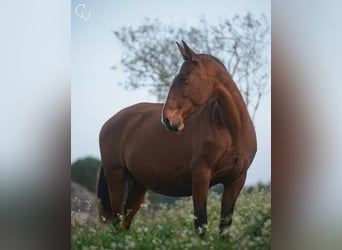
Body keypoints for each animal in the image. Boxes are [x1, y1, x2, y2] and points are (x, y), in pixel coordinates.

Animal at [96, 40, 256, 236]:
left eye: (184, 79)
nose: (167, 119)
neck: (231, 131)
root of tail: (109, 123)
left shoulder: (235, 181)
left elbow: (224, 226)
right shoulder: (200, 178)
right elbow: (201, 224)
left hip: (138, 185)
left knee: (125, 222)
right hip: (116, 178)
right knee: (118, 222)